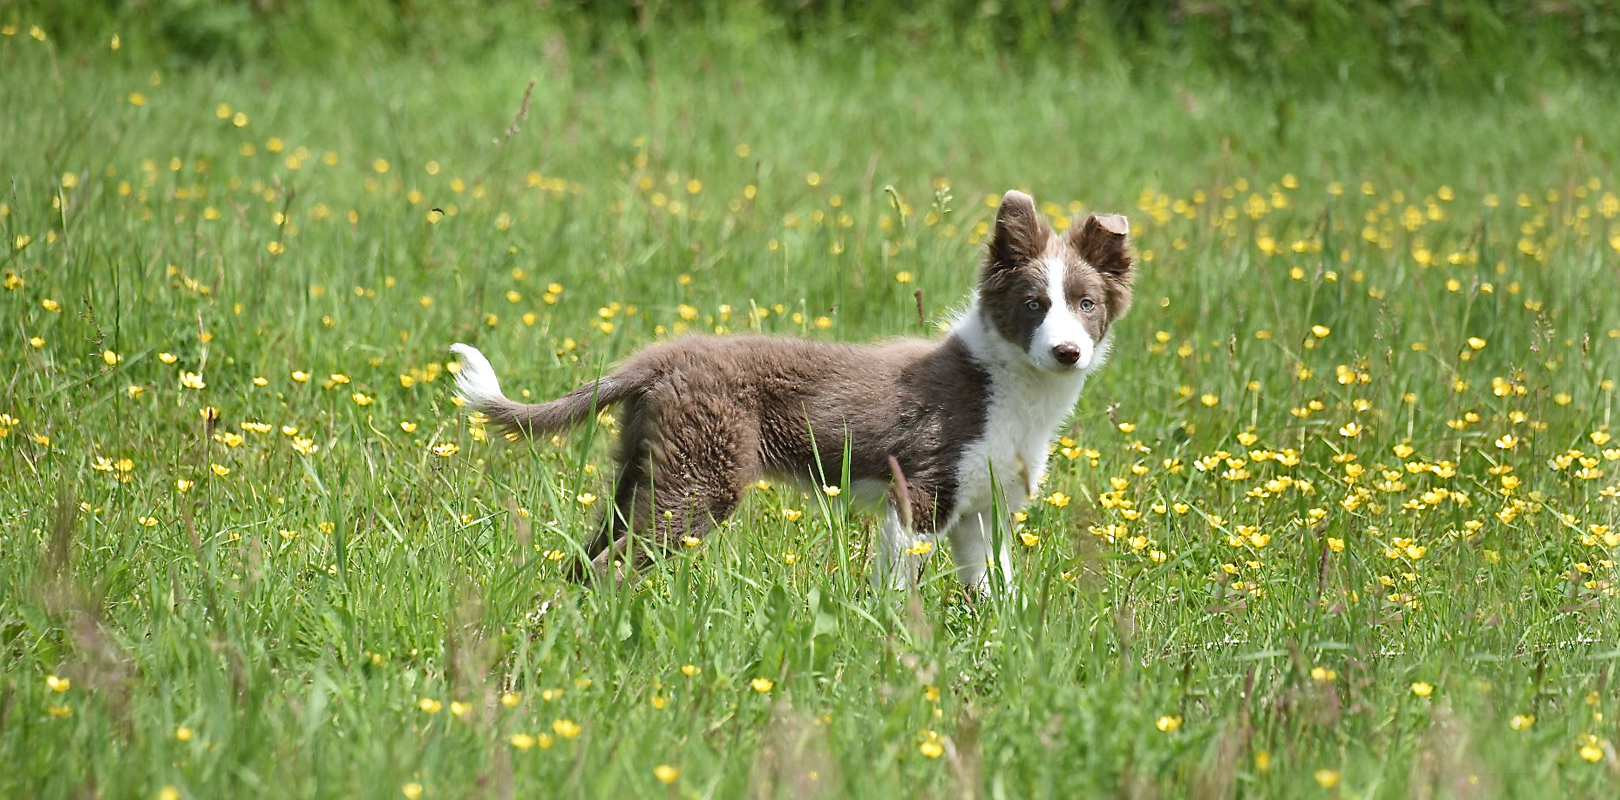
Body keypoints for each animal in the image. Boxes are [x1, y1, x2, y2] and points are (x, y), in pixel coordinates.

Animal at [453, 188, 1140, 592]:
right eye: (1032, 304)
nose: (1068, 352)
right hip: (702, 478)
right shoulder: (919, 492)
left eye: (1085, 304)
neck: (1010, 388)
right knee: (610, 563)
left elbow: (991, 589)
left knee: (587, 555)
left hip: (645, 467)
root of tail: (659, 358)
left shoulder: (980, 509)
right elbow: (898, 585)